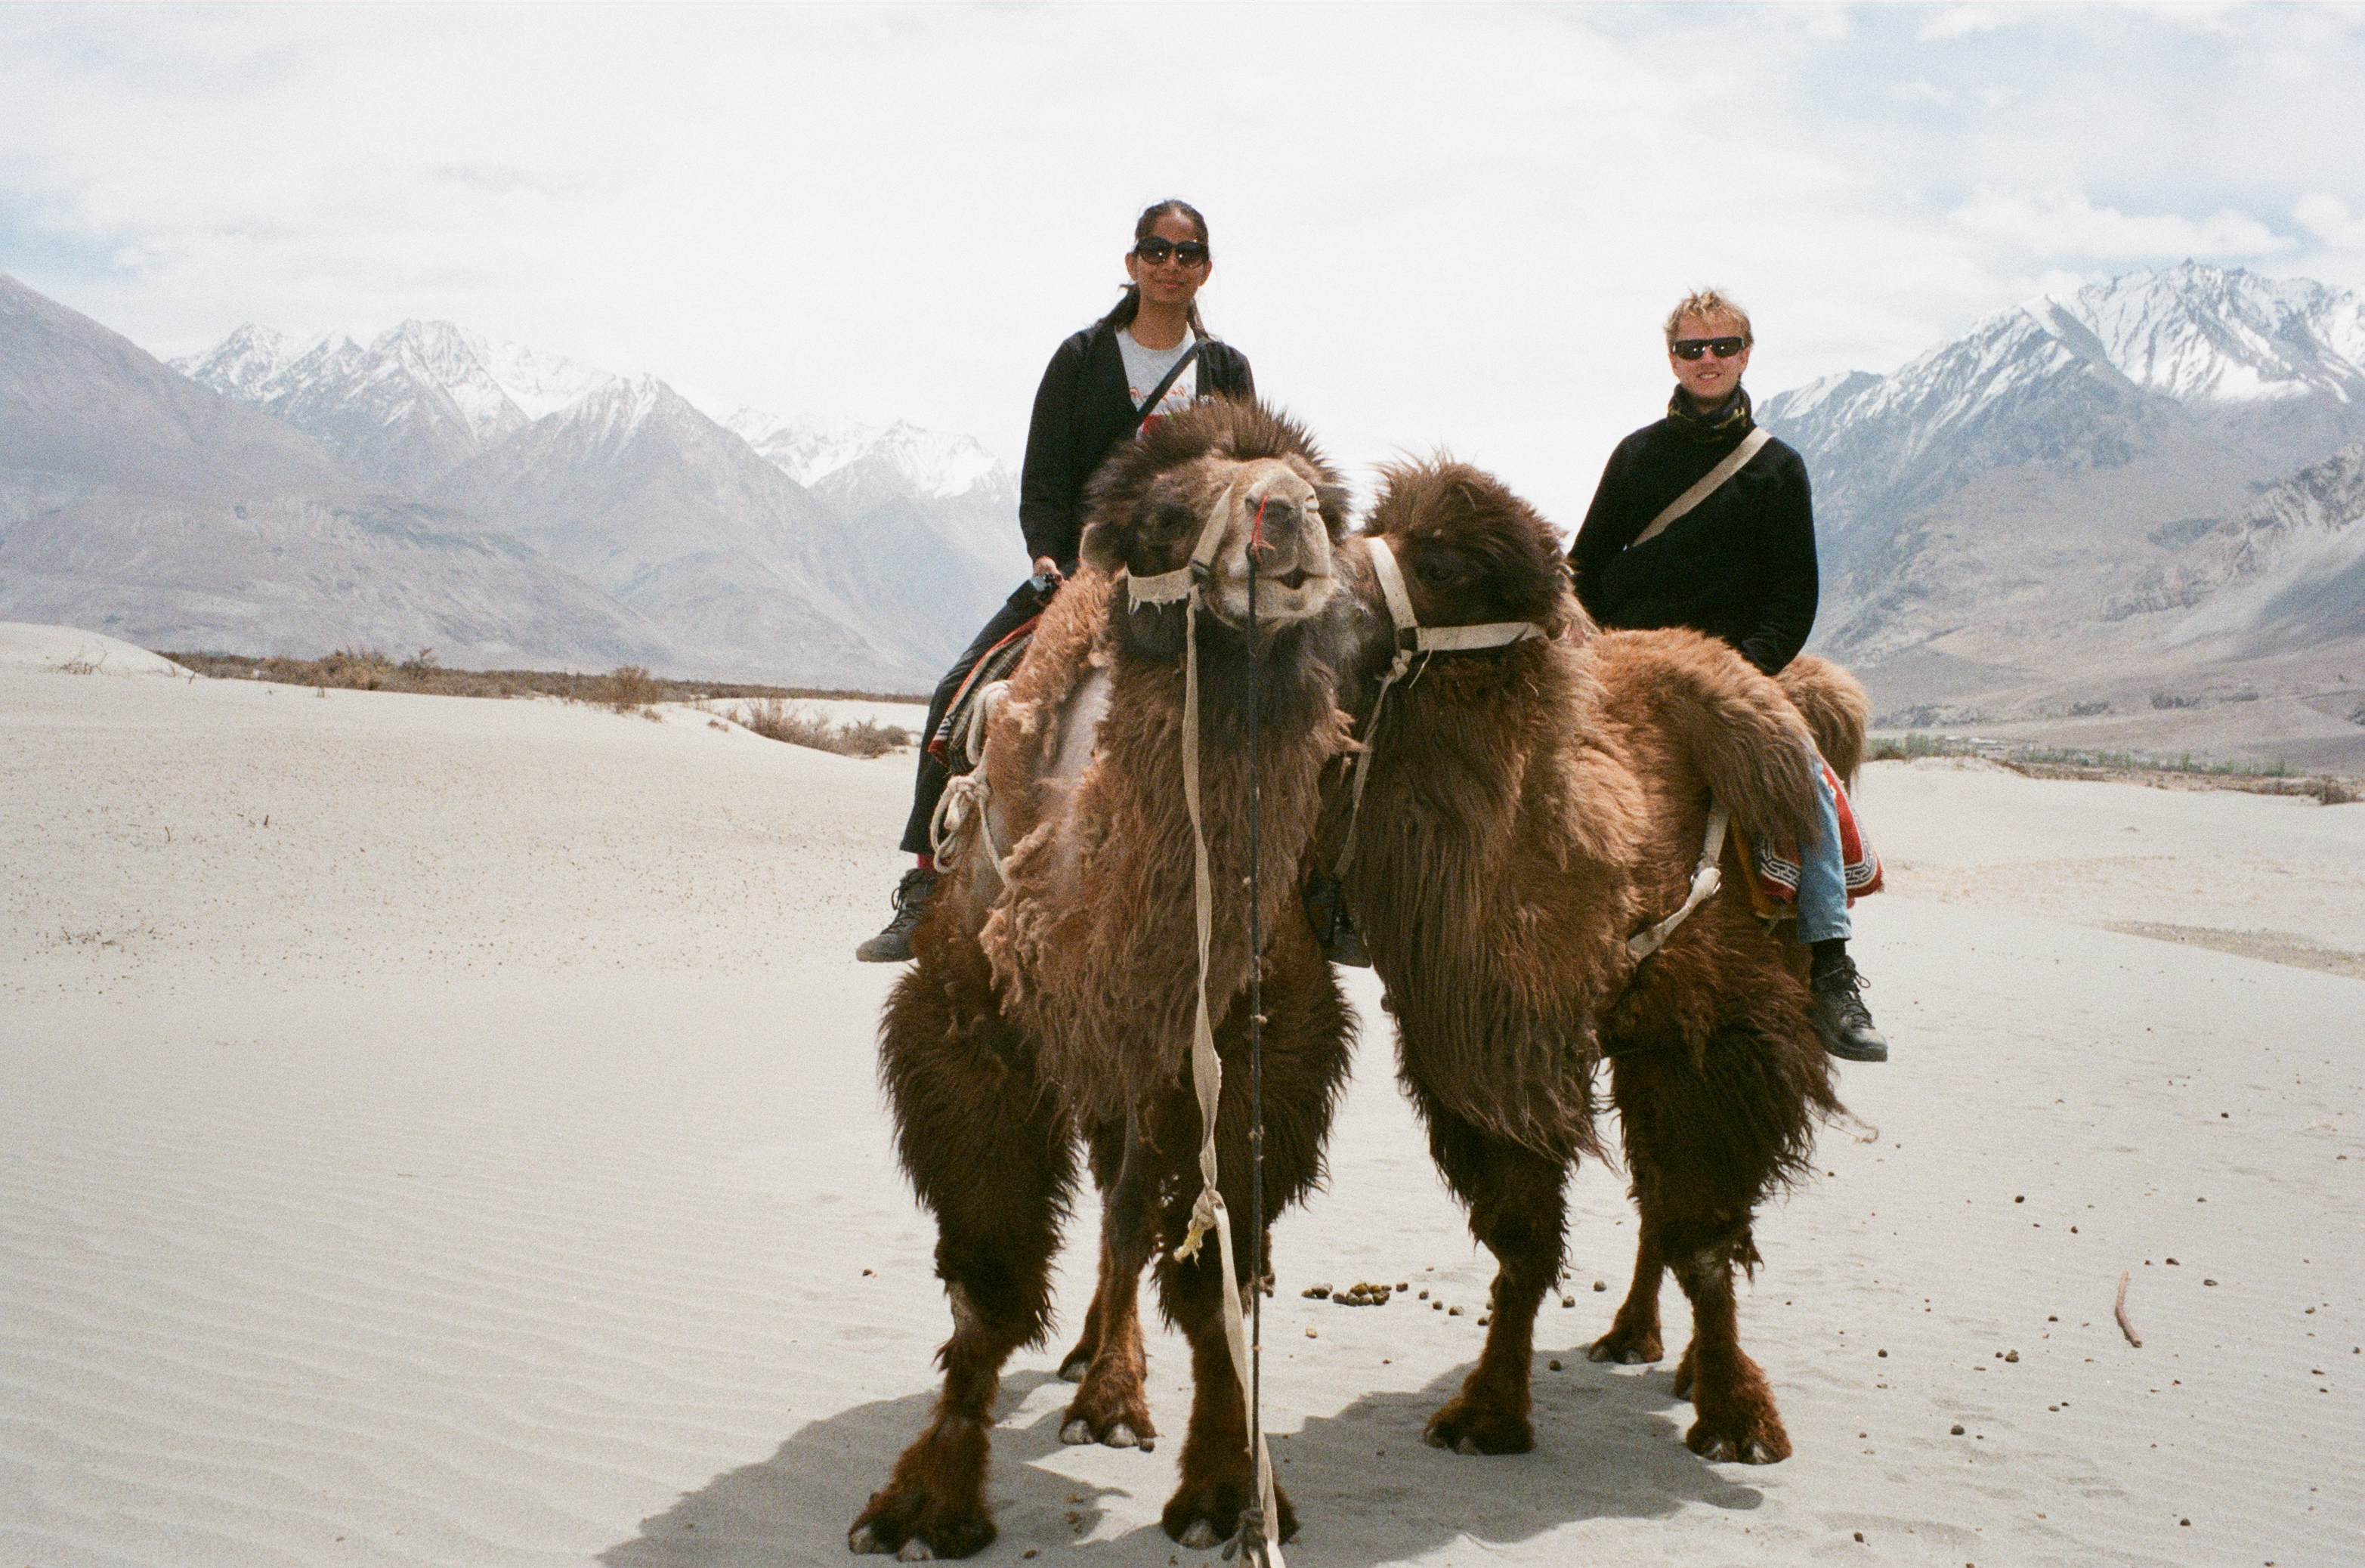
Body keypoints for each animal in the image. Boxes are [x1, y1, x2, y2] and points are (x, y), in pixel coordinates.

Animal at [851, 399, 1364, 1560]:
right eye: (1168, 512)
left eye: (1327, 493)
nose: (1288, 517)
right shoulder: (968, 1032)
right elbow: (988, 1286)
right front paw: (927, 1500)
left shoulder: (1256, 1049)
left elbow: (1213, 1272)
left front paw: (1225, 1485)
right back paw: (1094, 1368)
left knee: (1130, 1210)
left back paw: (1112, 1389)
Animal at [1327, 459, 1849, 1465]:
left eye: (1444, 562)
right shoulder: (1491, 1050)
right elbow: (1522, 1238)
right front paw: (1486, 1412)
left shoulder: (1715, 1037)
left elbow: (1704, 1235)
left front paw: (1738, 1419)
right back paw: (1632, 1334)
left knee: (1670, 1201)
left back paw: (1674, 1357)